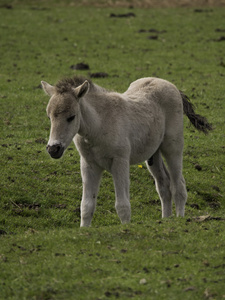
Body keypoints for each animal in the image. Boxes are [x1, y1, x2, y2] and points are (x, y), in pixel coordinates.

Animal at [41, 76, 212, 226]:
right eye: (49, 117)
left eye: (71, 117)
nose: (53, 149)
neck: (100, 124)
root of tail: (171, 86)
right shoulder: (89, 165)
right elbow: (87, 205)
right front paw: (84, 229)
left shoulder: (120, 162)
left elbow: (122, 205)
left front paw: (126, 227)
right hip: (153, 154)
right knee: (164, 186)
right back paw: (166, 220)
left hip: (172, 147)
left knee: (179, 186)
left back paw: (179, 219)